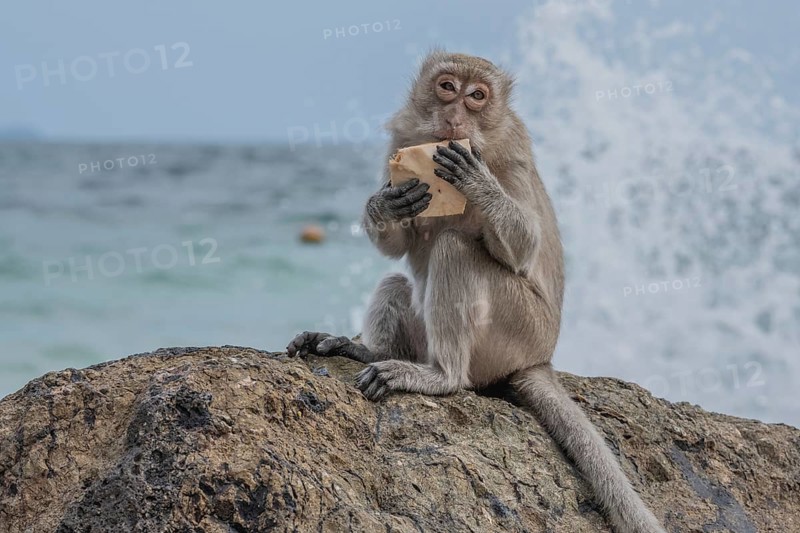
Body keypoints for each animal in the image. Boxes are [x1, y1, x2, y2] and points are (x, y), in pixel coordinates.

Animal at [286, 51, 665, 533]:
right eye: (447, 87)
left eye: (477, 96)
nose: (455, 116)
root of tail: (539, 356)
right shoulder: (401, 140)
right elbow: (397, 246)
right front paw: (385, 204)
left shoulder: (511, 151)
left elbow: (523, 246)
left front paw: (476, 181)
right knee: (398, 281)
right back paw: (372, 352)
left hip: (517, 330)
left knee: (455, 250)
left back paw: (441, 376)